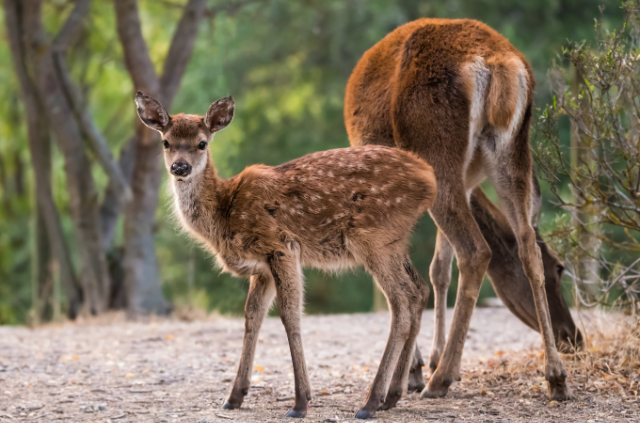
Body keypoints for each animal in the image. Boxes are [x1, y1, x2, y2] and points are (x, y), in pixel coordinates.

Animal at [132, 91, 438, 420]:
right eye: (166, 142)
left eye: (202, 143)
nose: (180, 168)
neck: (224, 212)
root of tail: (430, 179)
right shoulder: (261, 268)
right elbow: (252, 316)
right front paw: (234, 396)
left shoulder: (281, 247)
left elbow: (290, 316)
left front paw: (300, 402)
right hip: (395, 241)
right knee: (419, 290)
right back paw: (393, 395)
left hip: (374, 236)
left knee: (401, 301)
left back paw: (371, 402)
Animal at [344, 19, 576, 404]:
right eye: (559, 267)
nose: (574, 336)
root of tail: (496, 64)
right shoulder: (467, 184)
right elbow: (439, 268)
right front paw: (428, 360)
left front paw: (417, 370)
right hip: (511, 152)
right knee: (525, 243)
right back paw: (556, 377)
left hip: (435, 148)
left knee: (476, 250)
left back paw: (441, 379)